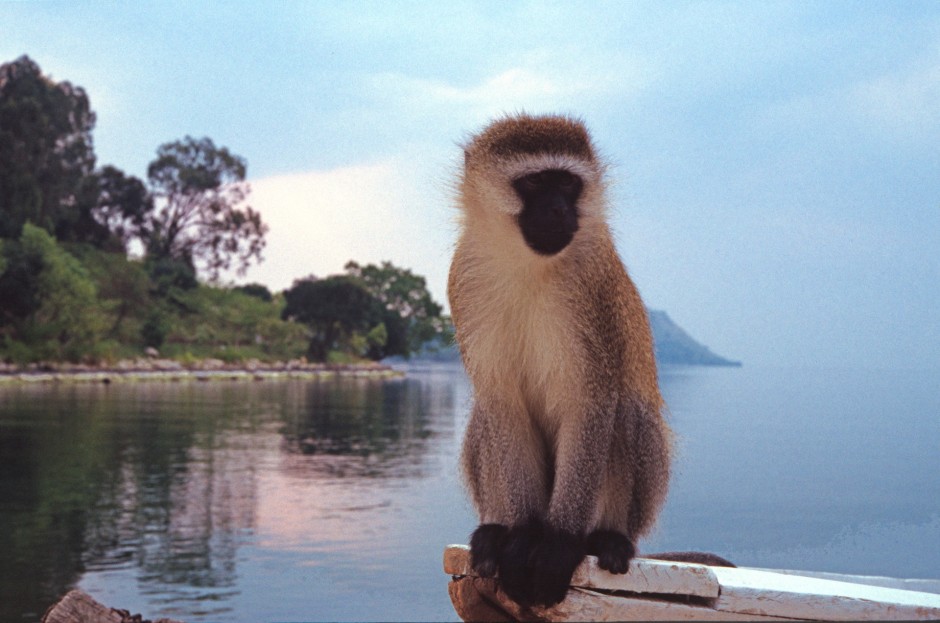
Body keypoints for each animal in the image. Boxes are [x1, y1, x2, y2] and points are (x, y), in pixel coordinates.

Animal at [450, 113, 676, 608]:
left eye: (569, 184)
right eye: (536, 182)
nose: (558, 211)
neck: (526, 263)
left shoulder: (593, 290)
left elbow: (593, 402)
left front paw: (557, 544)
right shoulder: (463, 279)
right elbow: (501, 403)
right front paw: (521, 534)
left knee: (626, 411)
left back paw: (605, 538)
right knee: (484, 418)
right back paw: (496, 533)